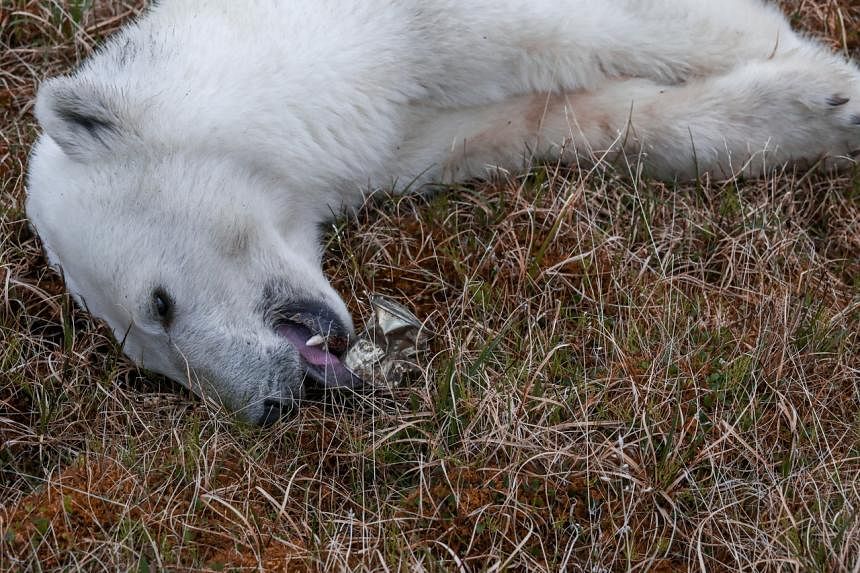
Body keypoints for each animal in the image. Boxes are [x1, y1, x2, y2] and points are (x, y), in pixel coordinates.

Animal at [26, 0, 860, 420]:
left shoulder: (410, 30)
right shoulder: (411, 130)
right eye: (152, 363)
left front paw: (830, 84)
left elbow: (630, 27)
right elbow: (570, 117)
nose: (266, 406)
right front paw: (809, 114)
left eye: (158, 304)